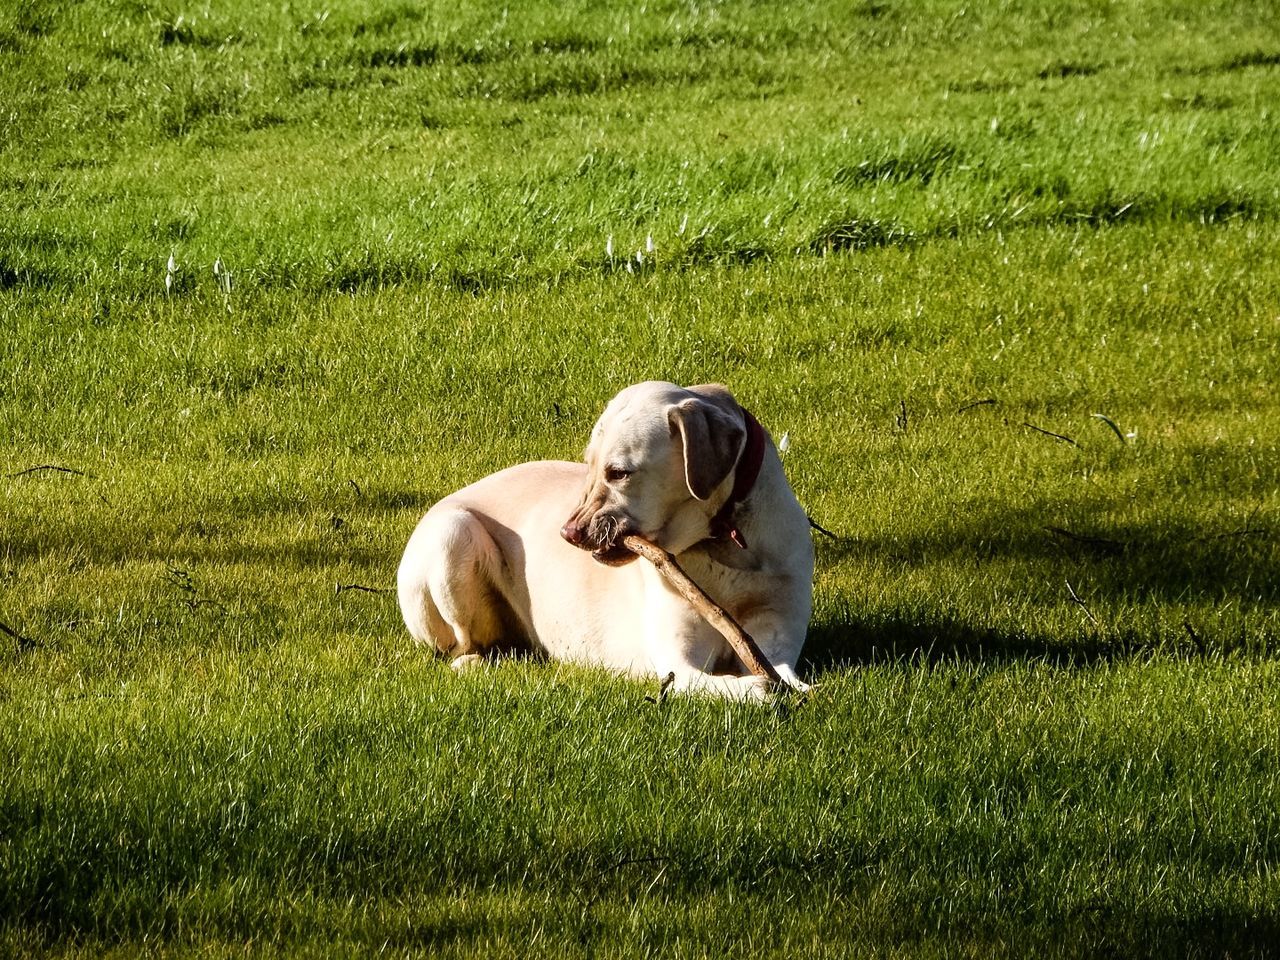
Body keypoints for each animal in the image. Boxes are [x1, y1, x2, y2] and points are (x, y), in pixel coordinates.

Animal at [396, 378, 808, 701]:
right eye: (589, 466)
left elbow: (784, 670)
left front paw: (796, 688)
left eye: (619, 472)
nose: (568, 533)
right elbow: (726, 684)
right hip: (453, 532)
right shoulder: (679, 664)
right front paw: (759, 688)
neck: (722, 545)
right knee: (462, 645)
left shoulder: (775, 632)